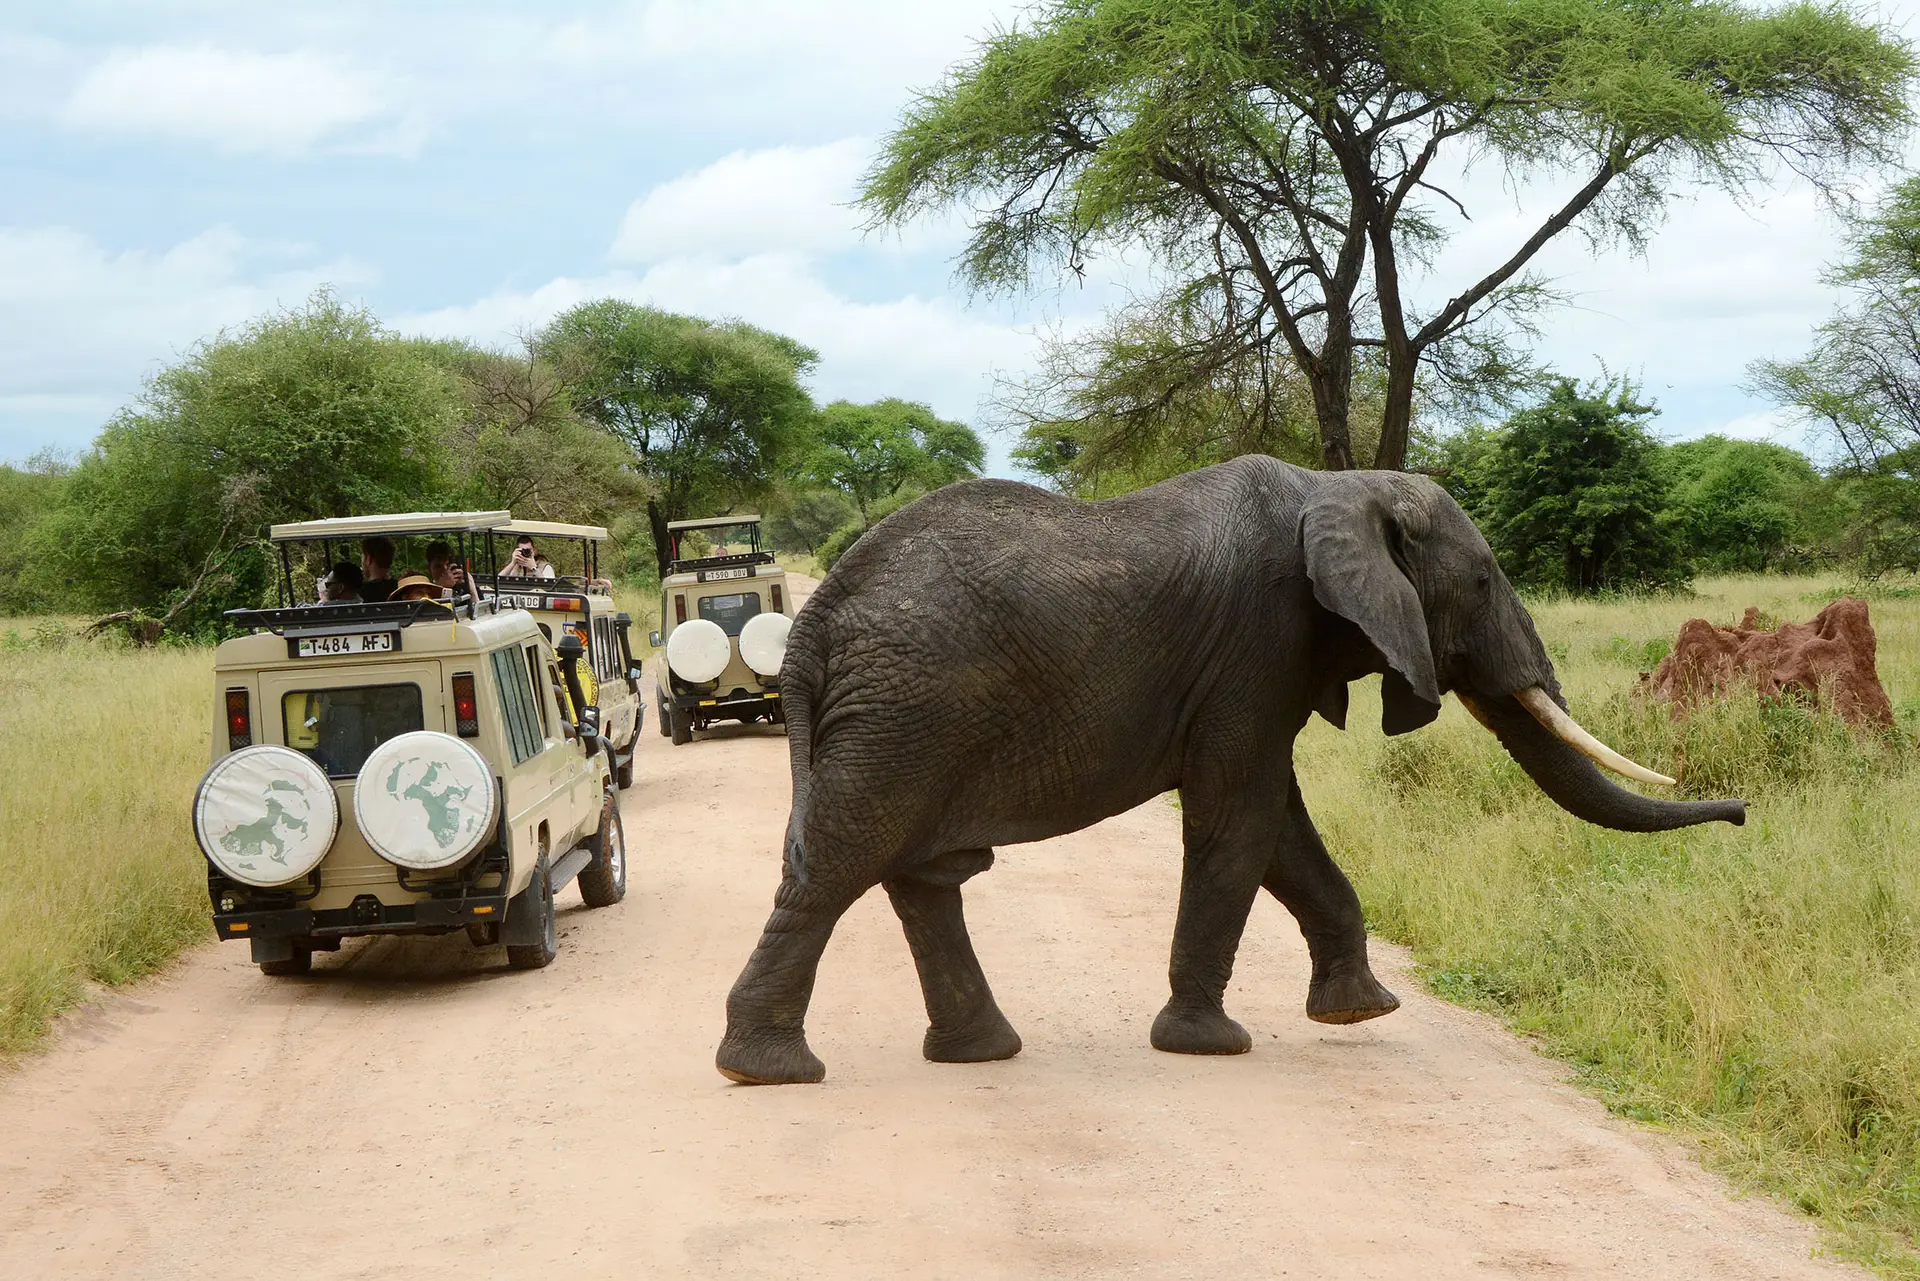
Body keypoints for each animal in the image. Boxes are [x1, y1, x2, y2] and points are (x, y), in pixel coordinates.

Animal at [718, 459, 1743, 1083]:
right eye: (1485, 581)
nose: (1741, 815)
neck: (1342, 485)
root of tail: (811, 623)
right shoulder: (1260, 639)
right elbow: (1240, 817)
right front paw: (1213, 1046)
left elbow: (1280, 827)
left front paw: (1360, 1014)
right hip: (904, 714)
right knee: (840, 867)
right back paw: (767, 1070)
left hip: (907, 717)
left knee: (914, 876)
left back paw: (978, 1054)